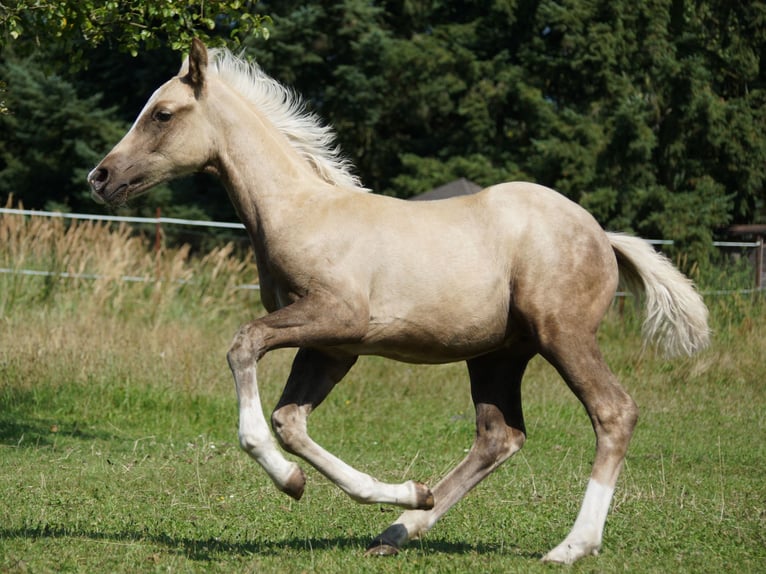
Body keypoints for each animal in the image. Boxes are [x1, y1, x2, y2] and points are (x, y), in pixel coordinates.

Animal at [88, 40, 708, 568]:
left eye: (162, 114)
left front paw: (288, 478)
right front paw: (396, 489)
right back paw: (403, 527)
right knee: (499, 436)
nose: (100, 177)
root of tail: (602, 235)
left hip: (562, 334)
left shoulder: (335, 318)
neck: (299, 213)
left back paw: (571, 546)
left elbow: (245, 352)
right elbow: (290, 420)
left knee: (613, 412)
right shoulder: (332, 347)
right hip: (497, 354)